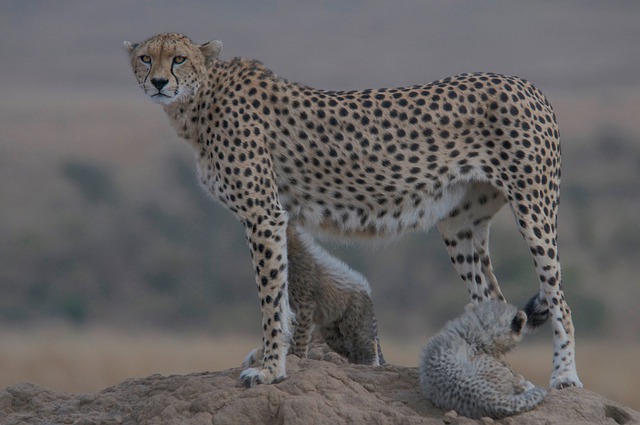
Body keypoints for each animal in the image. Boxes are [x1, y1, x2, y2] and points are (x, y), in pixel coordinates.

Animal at [124, 32, 582, 389]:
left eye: (179, 58)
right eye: (146, 57)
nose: (159, 82)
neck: (200, 99)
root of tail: (525, 83)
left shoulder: (264, 214)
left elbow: (271, 299)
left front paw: (270, 369)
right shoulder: (273, 217)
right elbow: (284, 298)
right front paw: (271, 359)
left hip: (535, 209)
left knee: (560, 301)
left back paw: (564, 377)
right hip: (459, 223)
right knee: (492, 298)